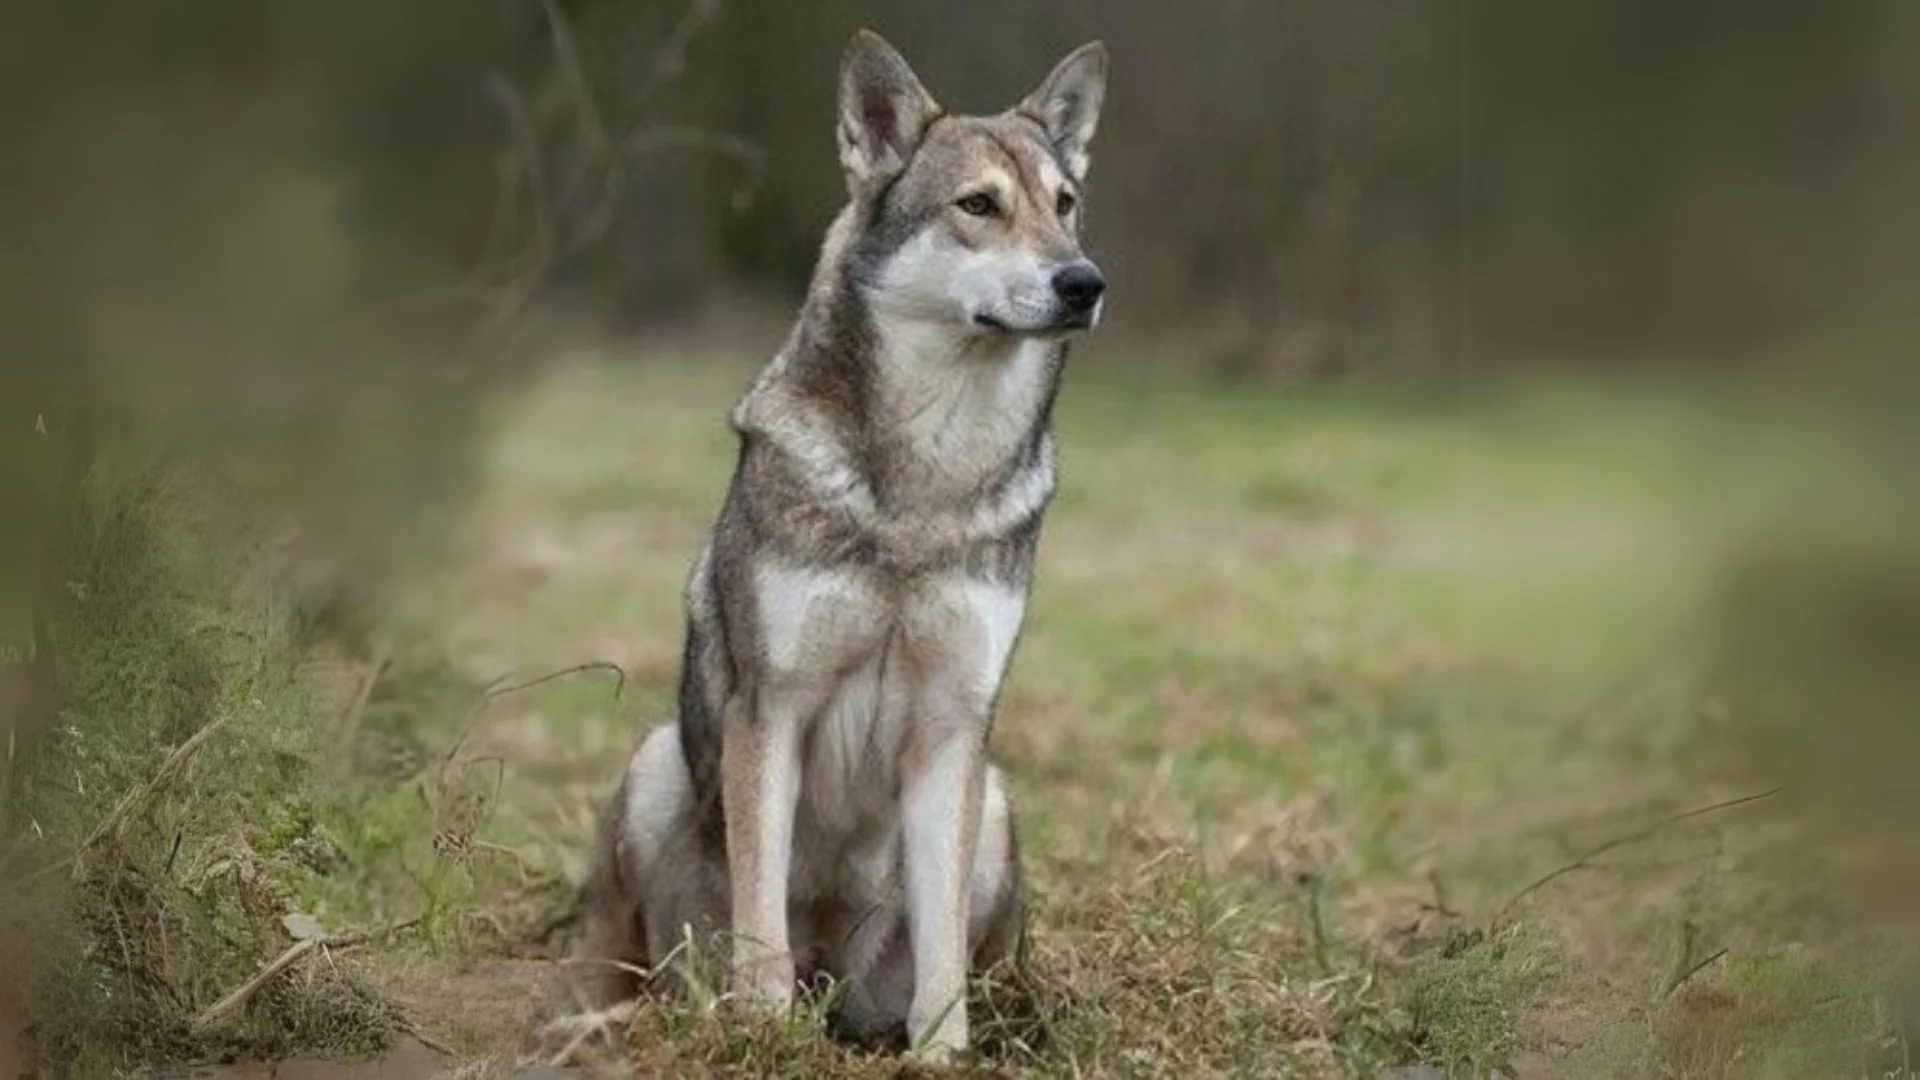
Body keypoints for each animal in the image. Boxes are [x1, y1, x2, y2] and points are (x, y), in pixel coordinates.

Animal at [553, 27, 1109, 1062]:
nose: (1085, 282)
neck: (926, 480)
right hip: (655, 766)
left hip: (995, 801)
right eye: (979, 206)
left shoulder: (952, 730)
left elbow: (940, 950)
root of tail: (834, 983)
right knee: (629, 961)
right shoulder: (772, 710)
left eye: (1064, 206)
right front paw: (762, 1037)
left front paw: (941, 1056)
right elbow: (762, 917)